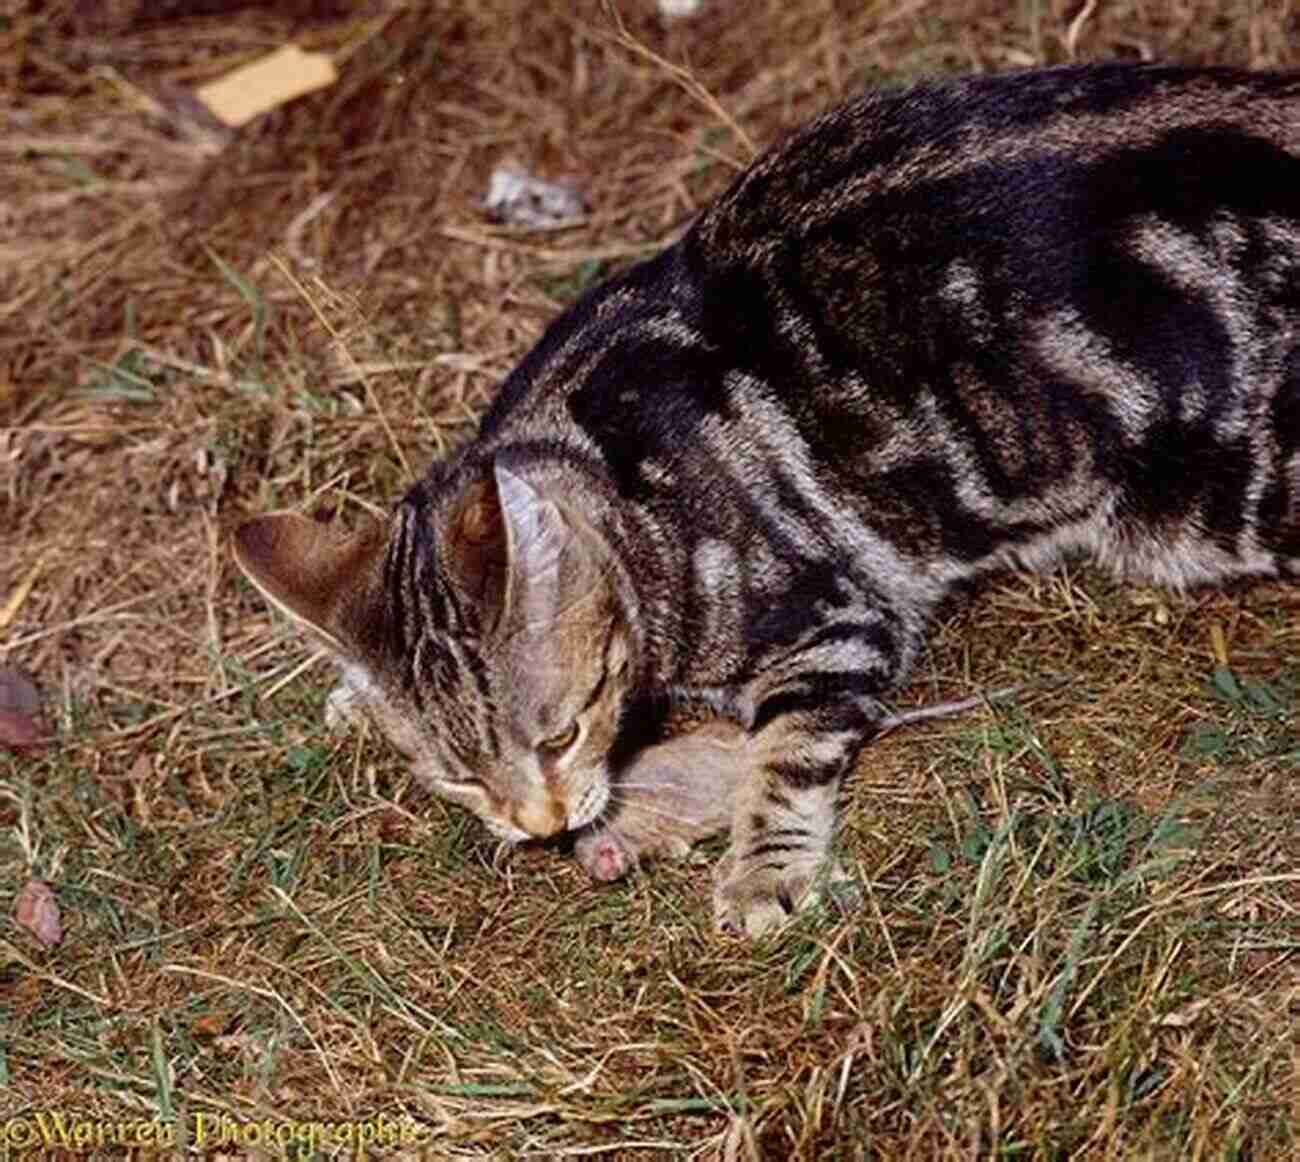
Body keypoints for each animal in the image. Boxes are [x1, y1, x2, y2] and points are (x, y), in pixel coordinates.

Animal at [233, 61, 1300, 935]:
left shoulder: (837, 621)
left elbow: (782, 757)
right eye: (459, 778)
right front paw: (351, 697)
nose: (537, 825)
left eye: (562, 733)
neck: (625, 489)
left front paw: (761, 871)